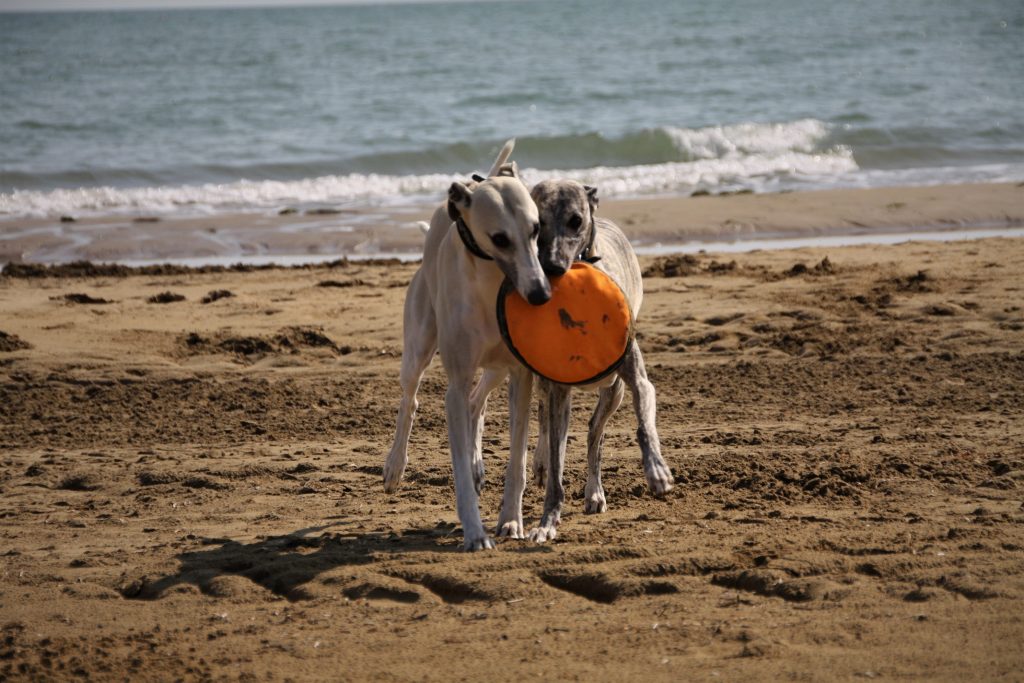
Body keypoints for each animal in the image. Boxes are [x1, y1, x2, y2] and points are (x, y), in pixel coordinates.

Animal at [382, 140, 551, 551]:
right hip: (418, 347)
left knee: (478, 403)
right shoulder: (455, 385)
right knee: (411, 399)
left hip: (495, 369)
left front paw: (510, 521)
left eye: (537, 228)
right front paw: (475, 533)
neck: (490, 285)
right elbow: (457, 466)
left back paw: (478, 464)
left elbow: (517, 461)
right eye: (500, 238)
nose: (540, 294)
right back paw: (395, 466)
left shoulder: (519, 374)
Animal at [526, 179, 674, 542]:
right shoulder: (559, 390)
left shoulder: (637, 380)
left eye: (576, 221)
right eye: (537, 223)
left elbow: (643, 425)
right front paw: (547, 522)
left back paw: (595, 492)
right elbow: (556, 459)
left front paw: (657, 471)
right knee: (545, 416)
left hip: (613, 392)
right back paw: (541, 463)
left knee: (596, 434)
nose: (552, 268)